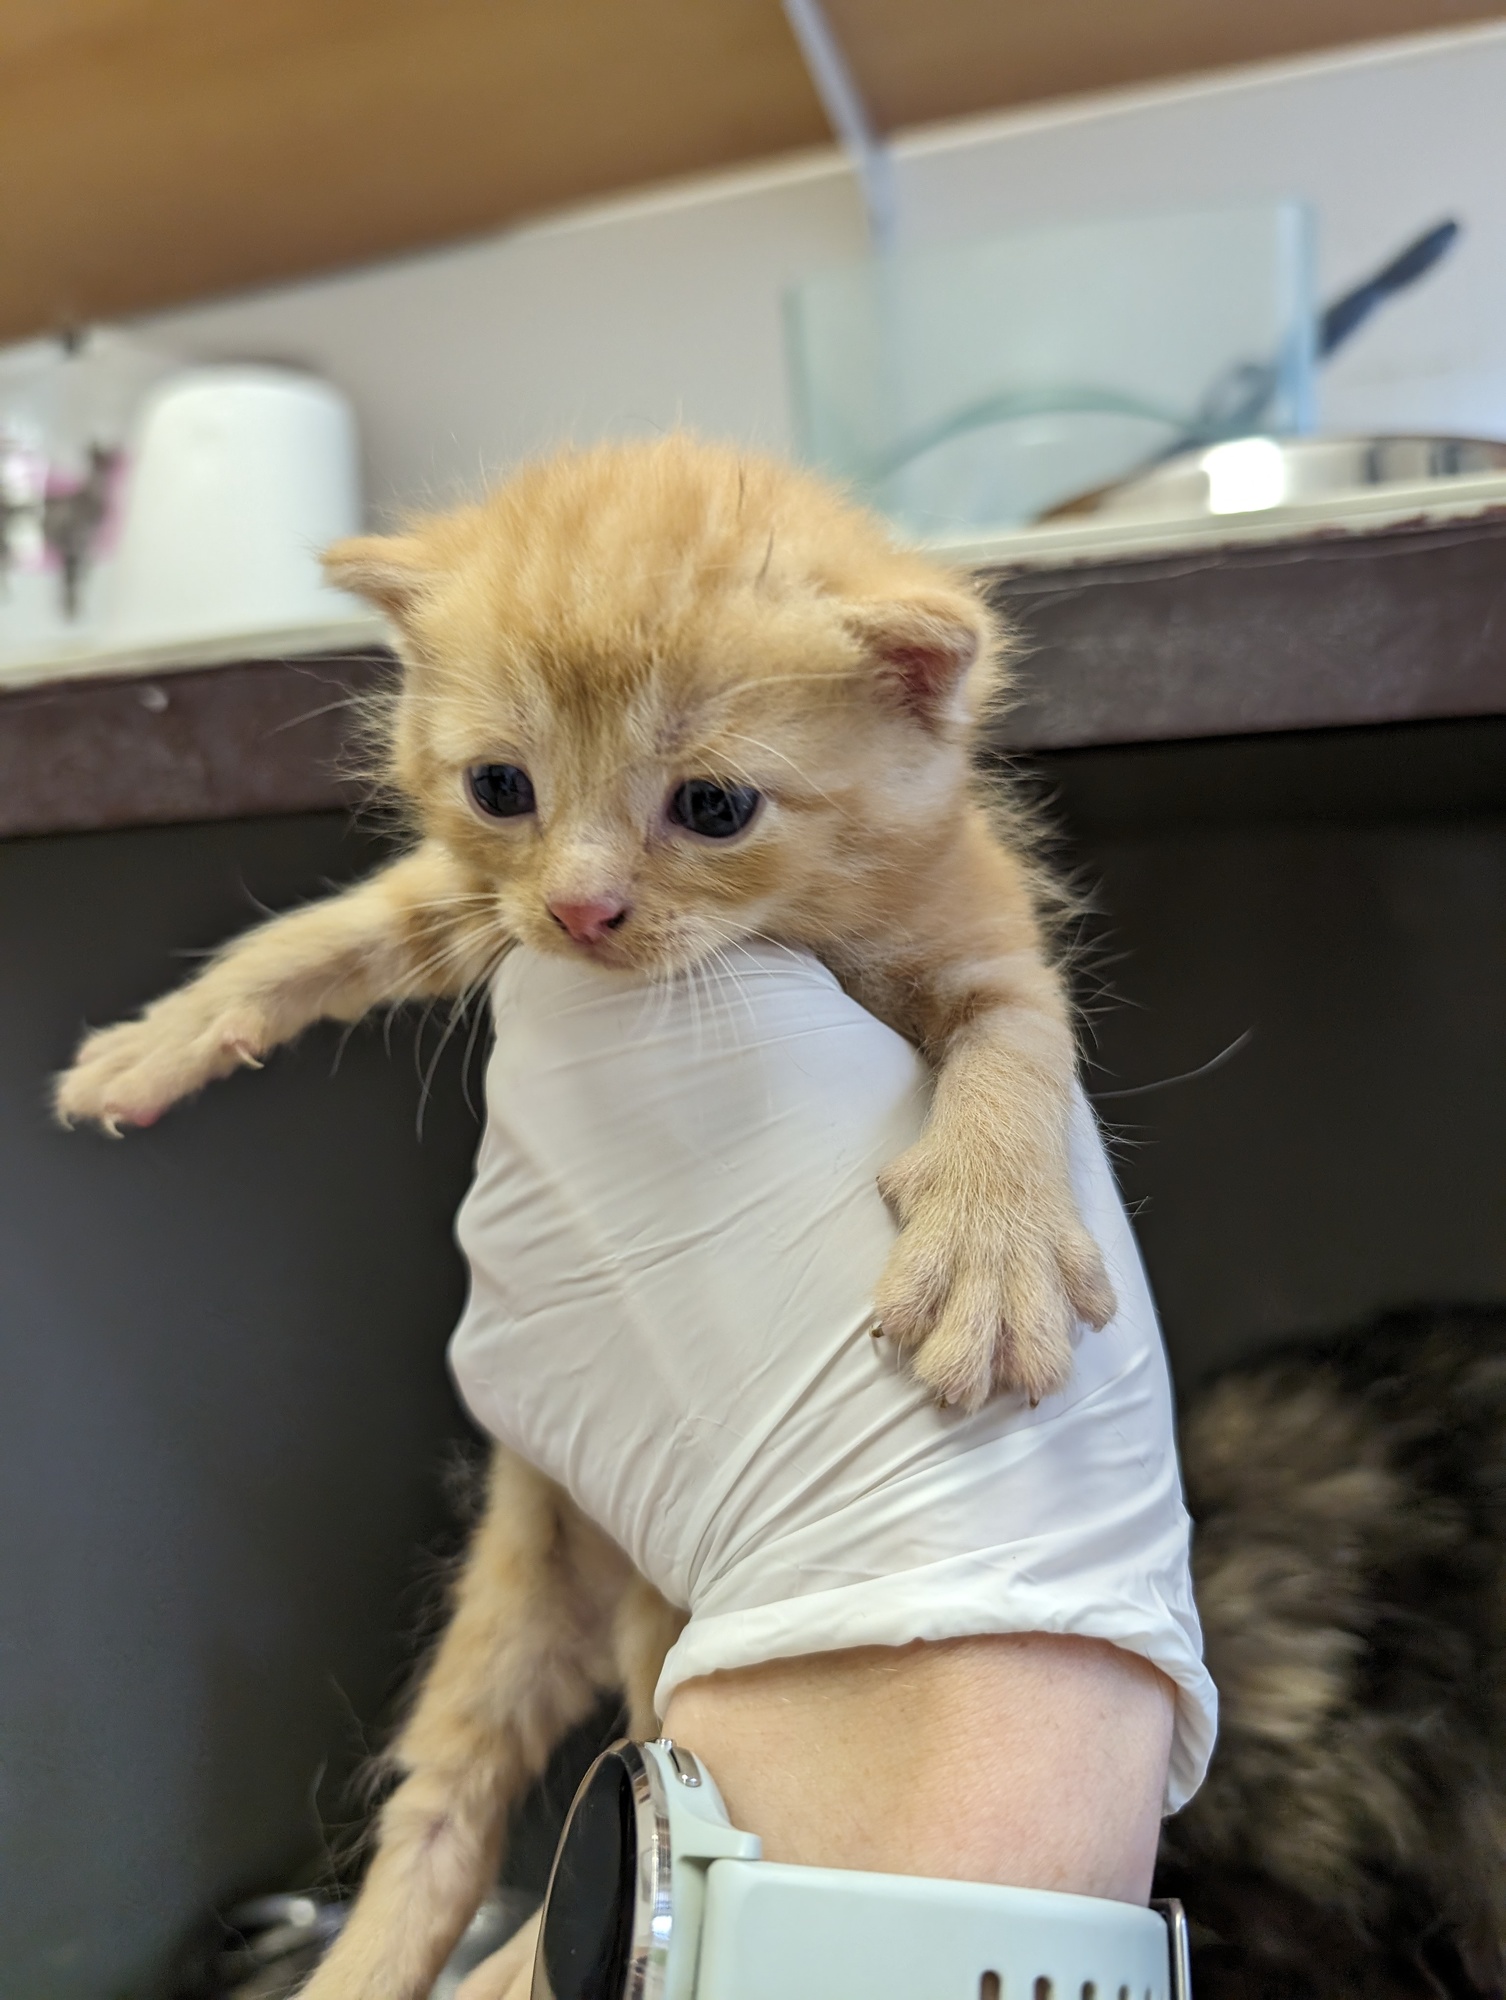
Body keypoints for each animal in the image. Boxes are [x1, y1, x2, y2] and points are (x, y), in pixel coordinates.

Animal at [55, 435, 1113, 2000]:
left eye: (714, 808)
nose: (582, 912)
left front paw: (990, 1243)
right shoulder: (470, 904)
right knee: (441, 1813)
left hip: (649, 1624)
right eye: (503, 785)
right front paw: (167, 1035)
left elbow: (1014, 1057)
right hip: (504, 1603)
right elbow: (333, 929)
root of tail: (604, 1596)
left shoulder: (987, 947)